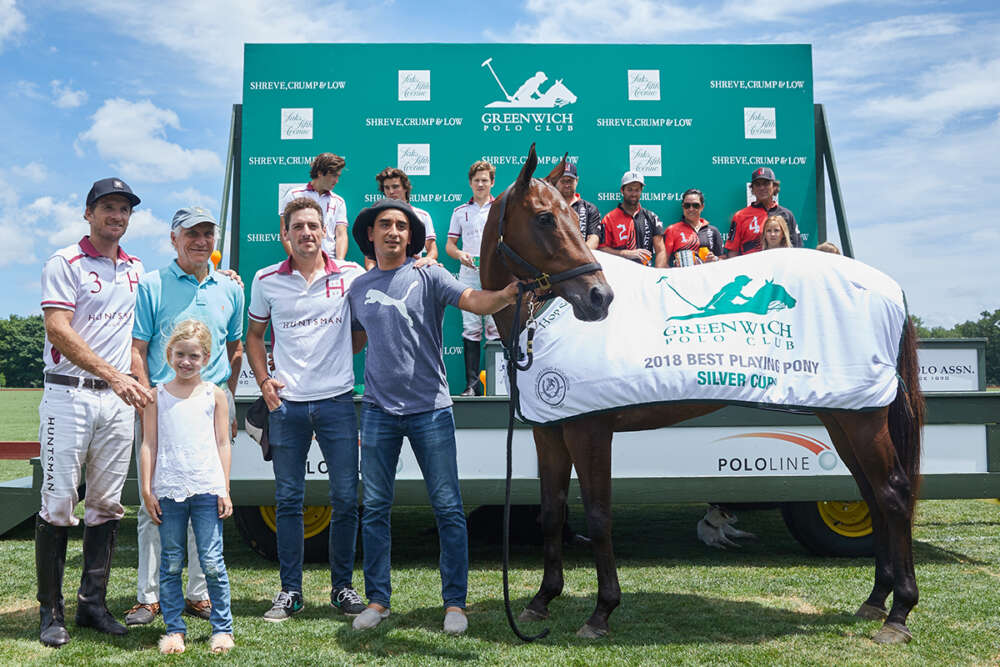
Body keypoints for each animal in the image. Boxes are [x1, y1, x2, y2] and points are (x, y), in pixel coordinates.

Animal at [480, 144, 924, 644]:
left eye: (576, 220)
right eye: (544, 218)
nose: (599, 298)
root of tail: (887, 288)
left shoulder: (589, 430)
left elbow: (597, 514)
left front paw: (601, 612)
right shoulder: (551, 431)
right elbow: (552, 512)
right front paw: (541, 601)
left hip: (862, 420)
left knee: (892, 492)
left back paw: (899, 613)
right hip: (843, 414)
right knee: (872, 493)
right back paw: (876, 600)